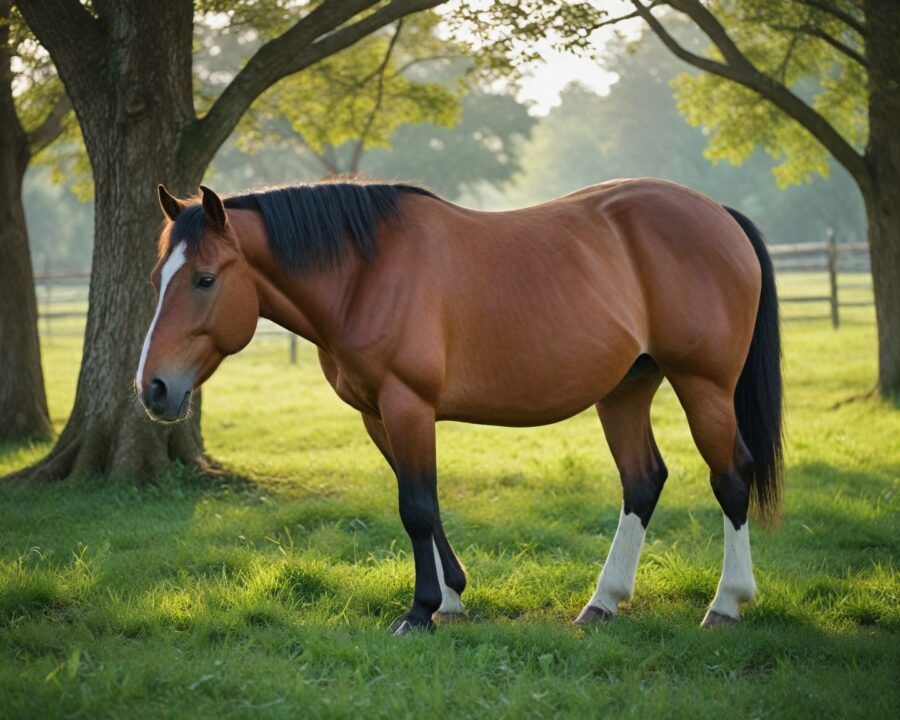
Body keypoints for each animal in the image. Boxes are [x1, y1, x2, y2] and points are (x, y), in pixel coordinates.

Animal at [136, 178, 783, 636]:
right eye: (158, 276)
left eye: (204, 279)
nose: (154, 388)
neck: (366, 273)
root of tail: (719, 214)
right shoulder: (379, 414)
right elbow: (423, 499)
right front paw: (450, 597)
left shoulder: (407, 403)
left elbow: (417, 507)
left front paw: (420, 611)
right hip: (626, 390)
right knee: (642, 481)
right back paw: (603, 602)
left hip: (703, 385)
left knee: (731, 477)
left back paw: (726, 604)